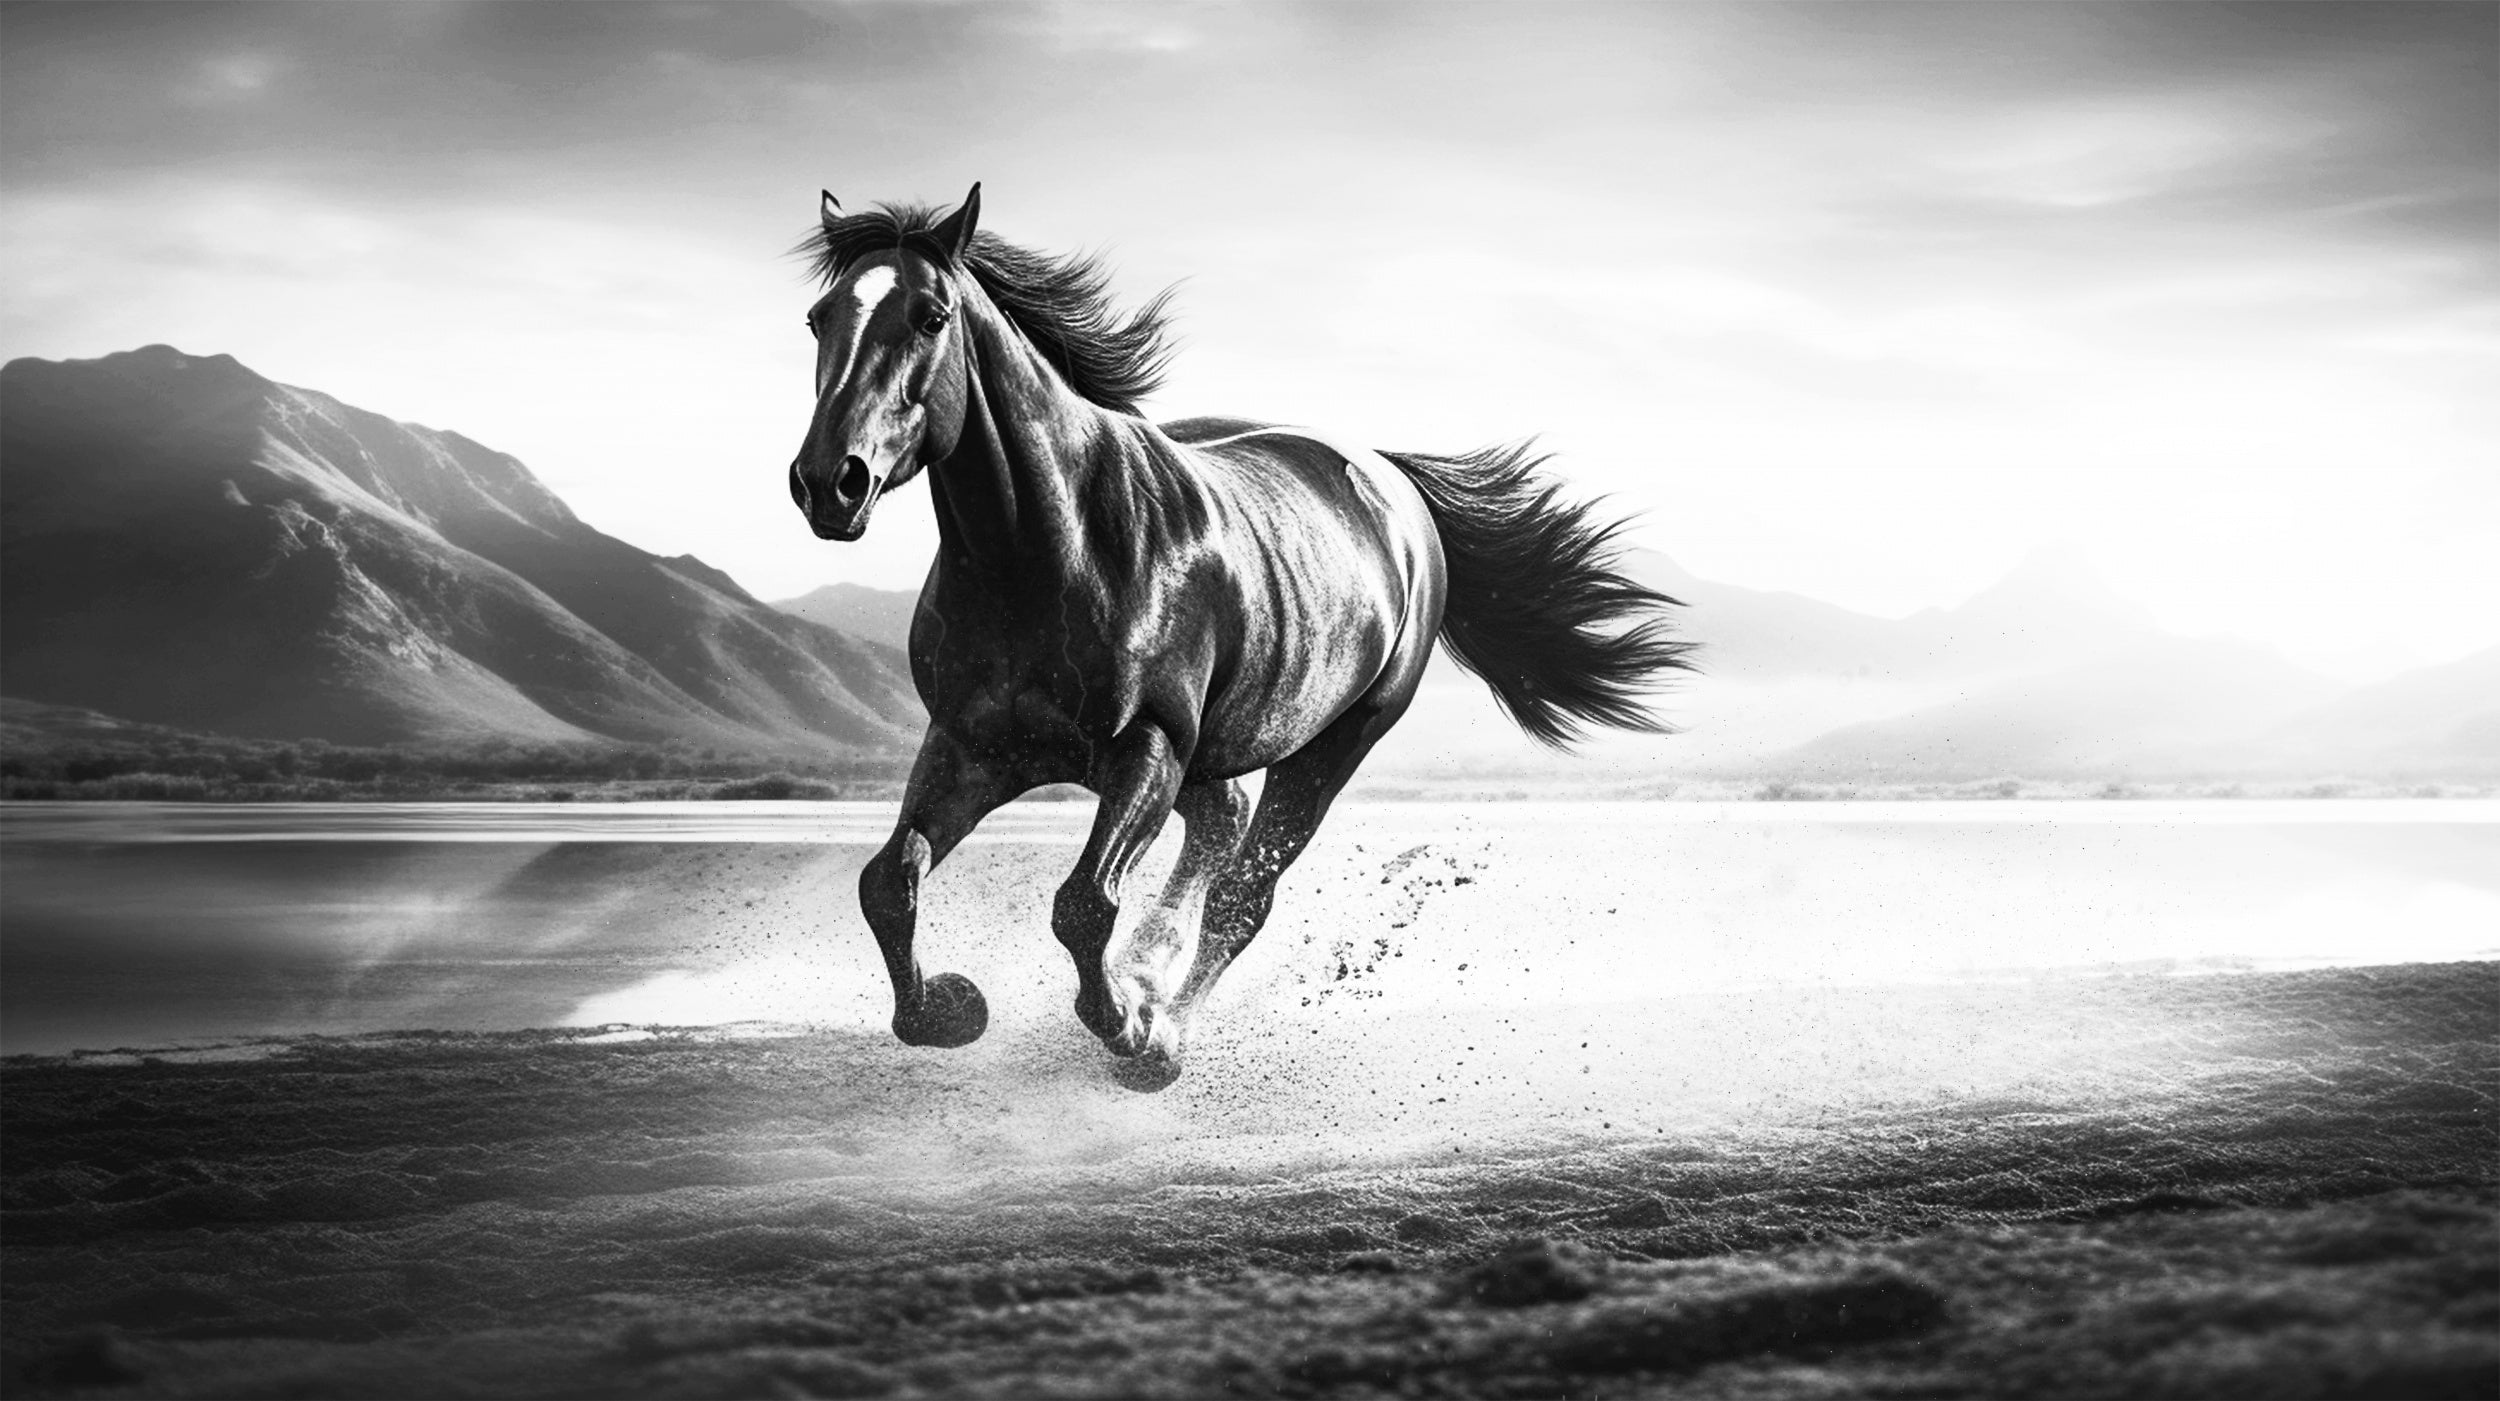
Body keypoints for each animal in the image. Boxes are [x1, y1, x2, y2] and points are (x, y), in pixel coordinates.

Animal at [787, 184, 1692, 1088]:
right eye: (818, 317)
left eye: (931, 315)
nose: (830, 482)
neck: (1050, 557)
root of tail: (1397, 488)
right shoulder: (973, 745)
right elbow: (889, 880)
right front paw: (951, 1008)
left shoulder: (1147, 747)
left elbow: (1084, 904)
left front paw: (1133, 1028)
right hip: (1208, 754)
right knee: (1221, 825)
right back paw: (1149, 969)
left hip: (1330, 745)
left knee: (1242, 894)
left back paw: (1163, 1028)